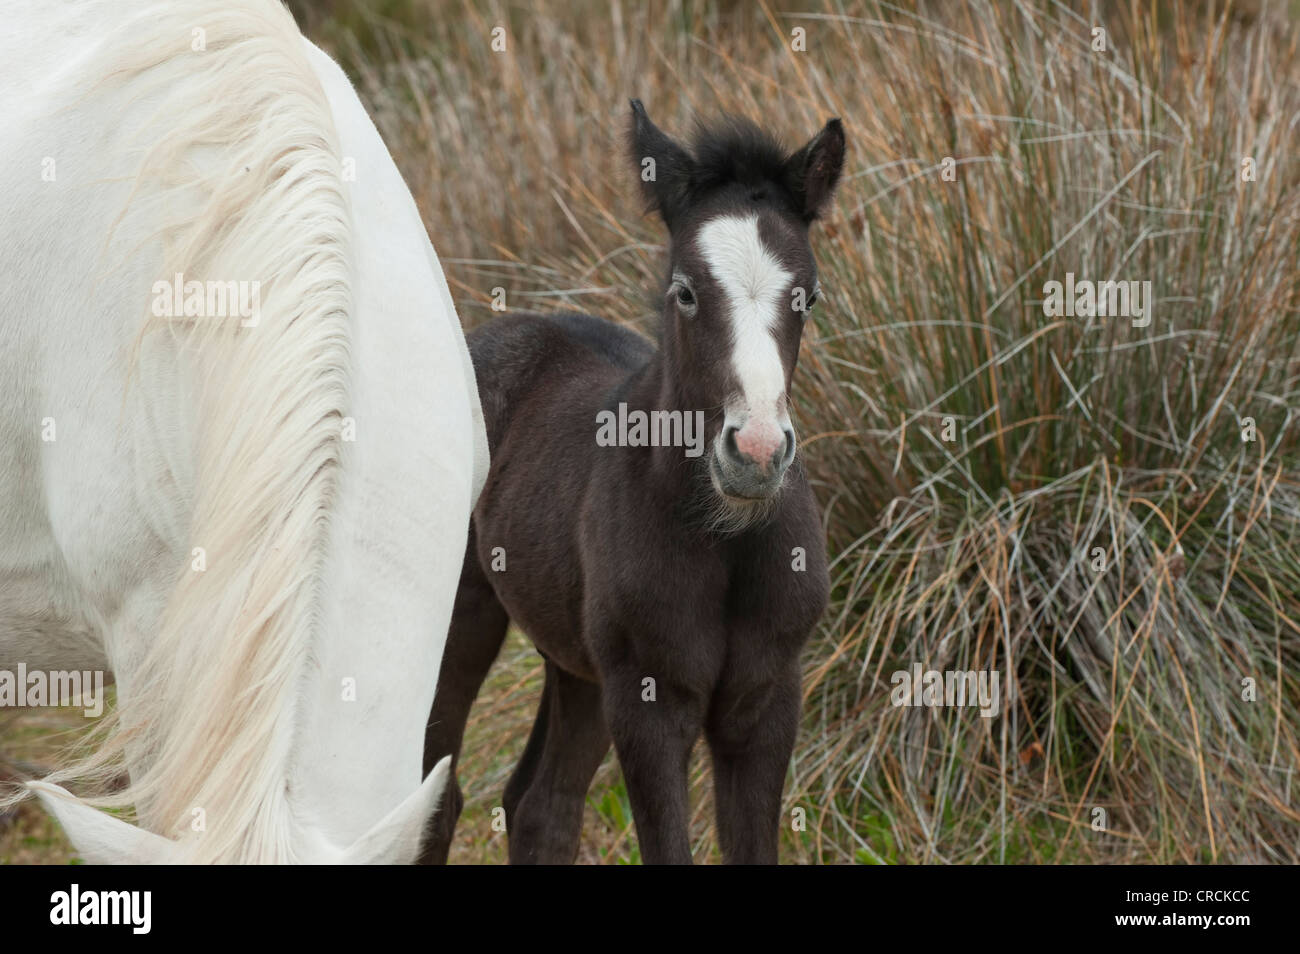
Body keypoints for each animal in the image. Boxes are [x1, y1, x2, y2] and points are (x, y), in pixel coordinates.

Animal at [421, 101, 844, 864]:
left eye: (809, 295)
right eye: (685, 292)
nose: (756, 453)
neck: (724, 539)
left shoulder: (766, 700)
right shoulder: (649, 703)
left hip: (579, 665)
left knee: (540, 804)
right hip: (466, 617)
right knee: (440, 797)